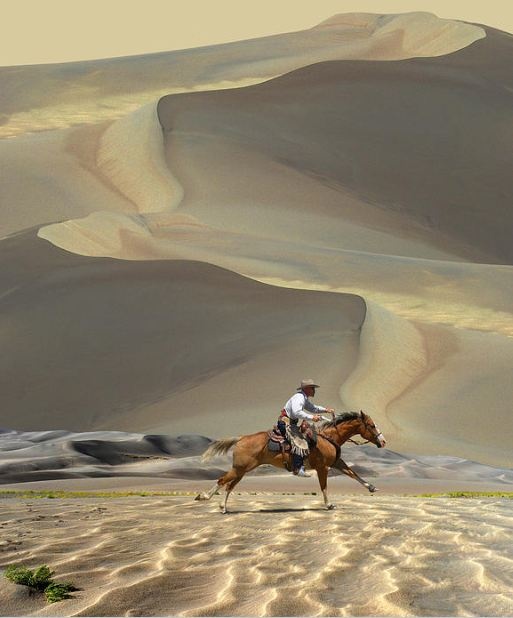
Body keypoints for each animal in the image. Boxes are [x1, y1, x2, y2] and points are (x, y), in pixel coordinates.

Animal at [195, 410, 384, 510]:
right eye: (372, 425)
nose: (383, 442)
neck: (328, 437)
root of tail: (241, 438)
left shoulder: (336, 462)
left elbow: (353, 473)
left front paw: (372, 487)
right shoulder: (323, 467)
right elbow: (324, 486)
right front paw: (329, 504)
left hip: (242, 470)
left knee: (229, 485)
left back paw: (223, 507)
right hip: (240, 469)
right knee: (222, 480)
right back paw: (204, 497)